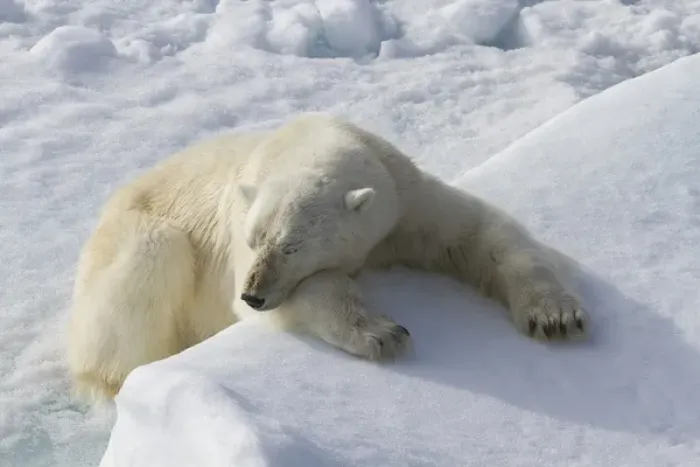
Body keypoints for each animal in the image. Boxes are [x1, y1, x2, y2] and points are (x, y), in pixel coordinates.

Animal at [66, 113, 587, 405]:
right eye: (255, 239)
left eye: (291, 245)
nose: (254, 295)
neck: (309, 139)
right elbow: (317, 292)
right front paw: (383, 333)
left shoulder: (402, 198)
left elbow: (476, 232)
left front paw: (555, 316)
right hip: (135, 243)